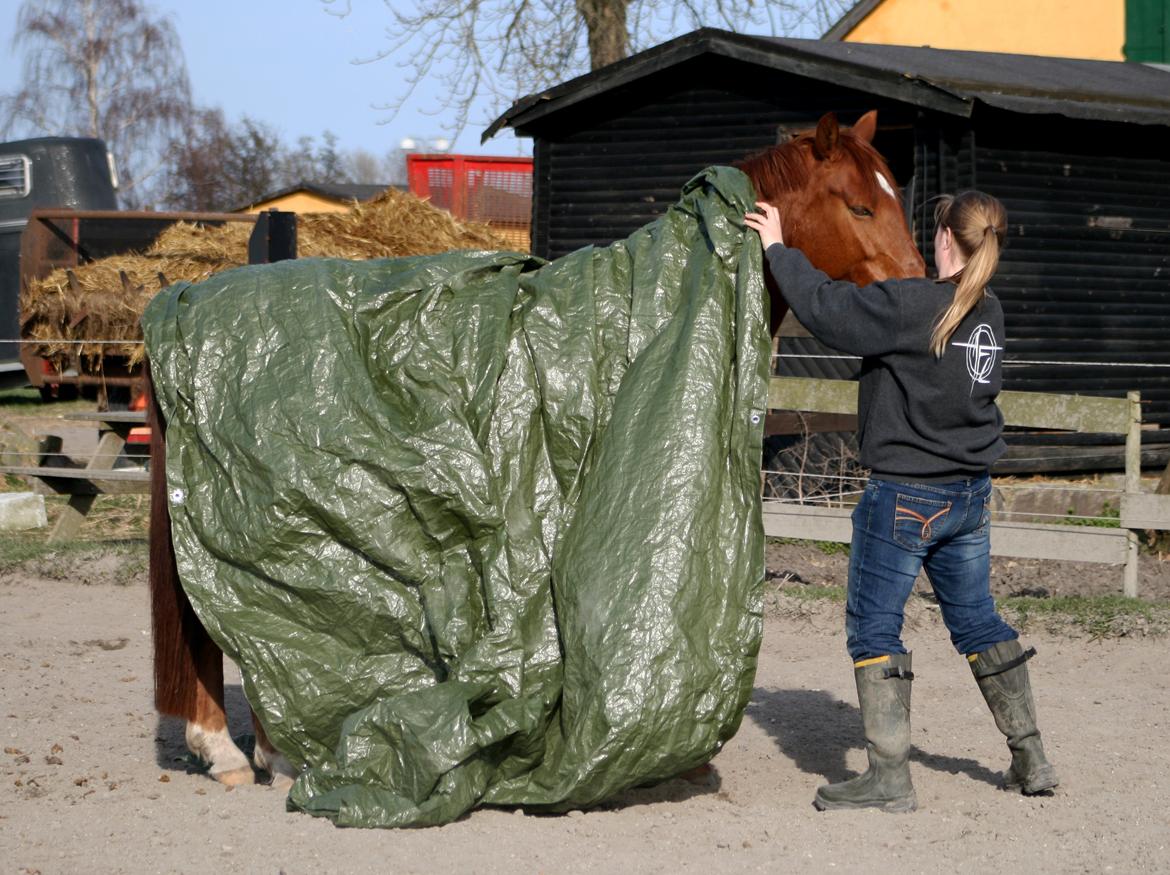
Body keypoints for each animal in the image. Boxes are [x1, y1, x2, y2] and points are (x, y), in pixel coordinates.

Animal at [148, 109, 921, 786]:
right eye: (859, 206)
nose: (920, 289)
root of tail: (182, 301)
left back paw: (247, 749)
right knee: (234, 622)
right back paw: (243, 752)